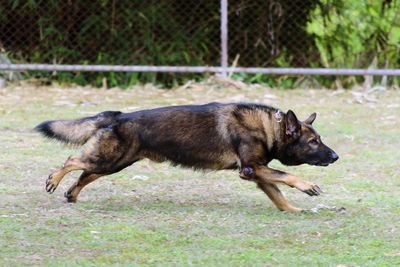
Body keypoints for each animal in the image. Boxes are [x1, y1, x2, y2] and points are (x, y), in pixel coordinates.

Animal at [36, 103, 340, 214]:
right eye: (313, 142)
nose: (336, 156)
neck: (269, 128)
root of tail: (120, 116)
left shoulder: (257, 174)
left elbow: (279, 195)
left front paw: (295, 211)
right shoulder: (251, 169)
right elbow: (288, 176)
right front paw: (308, 186)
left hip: (113, 163)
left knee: (83, 174)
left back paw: (71, 195)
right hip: (108, 161)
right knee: (71, 160)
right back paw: (53, 179)